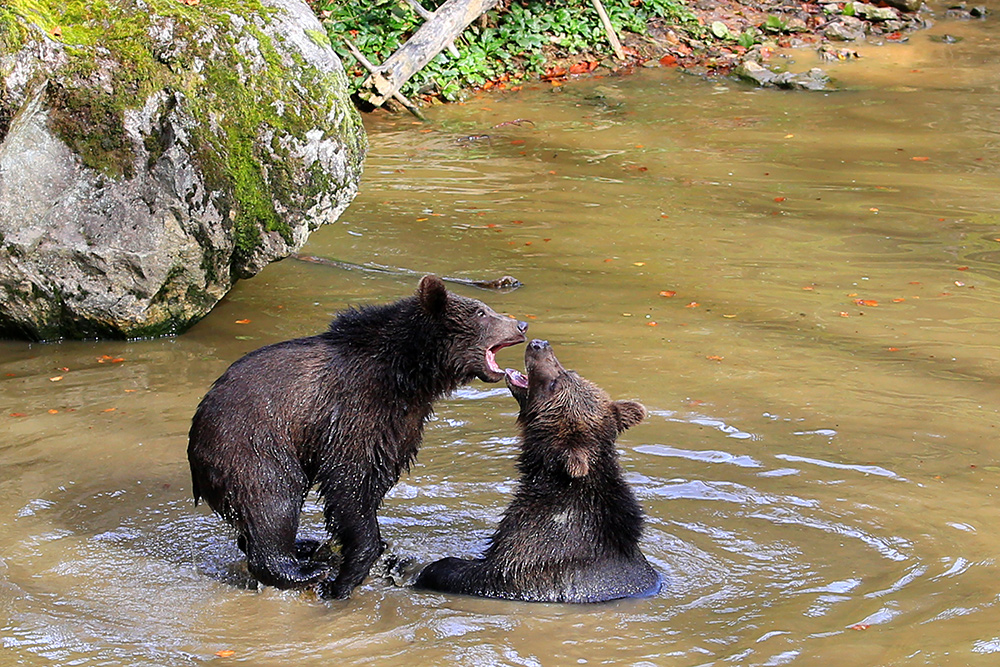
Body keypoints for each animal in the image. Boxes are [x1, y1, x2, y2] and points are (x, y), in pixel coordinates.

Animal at [189, 276, 532, 600]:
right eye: (481, 312)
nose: (521, 324)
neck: (408, 374)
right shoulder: (355, 410)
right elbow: (349, 481)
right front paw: (349, 571)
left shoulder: (401, 424)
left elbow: (376, 477)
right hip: (252, 443)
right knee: (272, 499)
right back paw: (301, 569)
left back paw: (303, 546)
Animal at [416, 340, 664, 604]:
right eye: (569, 372)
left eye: (555, 384)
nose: (539, 344)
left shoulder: (540, 547)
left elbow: (493, 572)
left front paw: (428, 568)